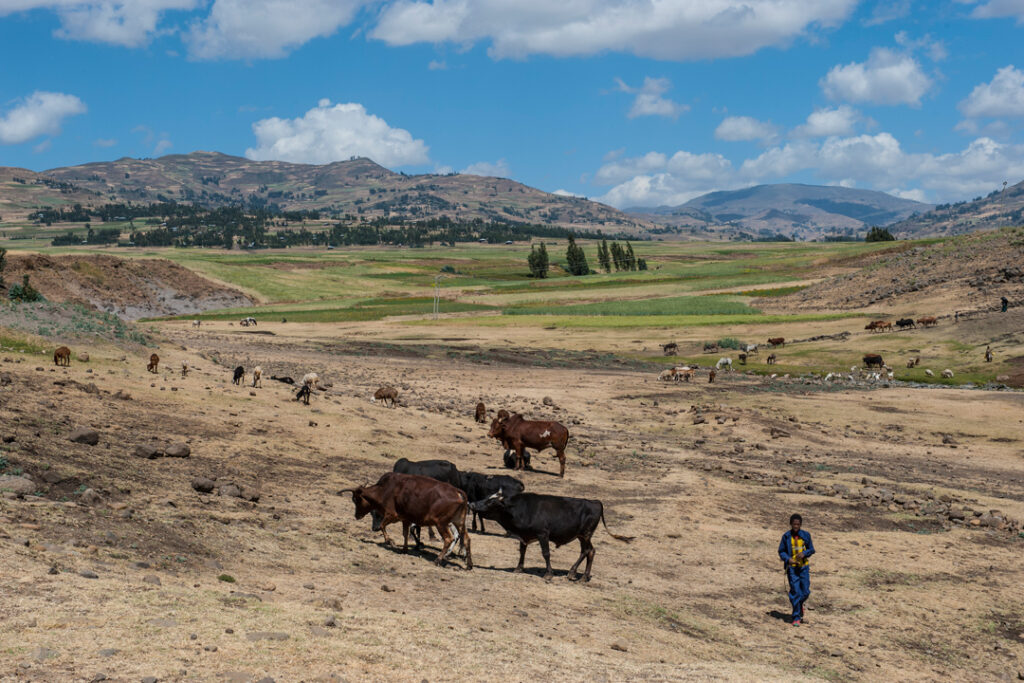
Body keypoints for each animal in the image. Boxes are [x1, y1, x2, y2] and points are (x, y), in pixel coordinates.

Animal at [342, 473, 473, 569]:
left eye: (356, 499)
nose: (356, 515)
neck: (384, 489)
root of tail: (458, 492)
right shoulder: (406, 519)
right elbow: (405, 533)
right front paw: (404, 549)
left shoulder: (392, 515)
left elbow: (382, 526)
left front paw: (391, 541)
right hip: (458, 522)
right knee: (466, 539)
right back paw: (469, 565)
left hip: (441, 523)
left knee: (448, 539)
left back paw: (438, 559)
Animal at [468, 491, 630, 581]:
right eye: (486, 497)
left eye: (491, 502)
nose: (472, 504)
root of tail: (595, 502)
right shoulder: (524, 536)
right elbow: (522, 551)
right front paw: (519, 568)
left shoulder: (543, 534)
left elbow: (546, 553)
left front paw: (549, 573)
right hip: (582, 536)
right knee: (590, 551)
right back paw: (582, 576)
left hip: (585, 534)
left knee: (587, 551)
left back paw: (573, 573)